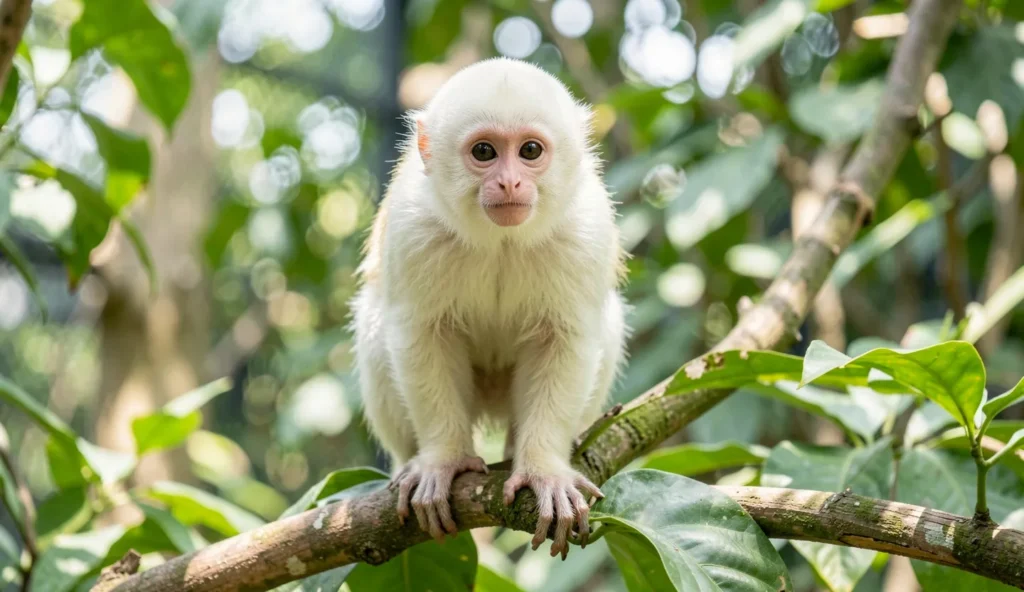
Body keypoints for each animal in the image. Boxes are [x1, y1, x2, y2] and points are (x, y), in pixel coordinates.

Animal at [351, 58, 628, 559]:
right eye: (484, 152)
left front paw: (544, 470)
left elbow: (567, 340)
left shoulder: (585, 231)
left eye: (530, 150)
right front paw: (443, 463)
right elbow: (421, 335)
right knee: (376, 323)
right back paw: (409, 462)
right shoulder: (413, 227)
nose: (509, 181)